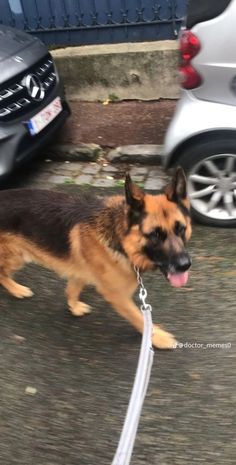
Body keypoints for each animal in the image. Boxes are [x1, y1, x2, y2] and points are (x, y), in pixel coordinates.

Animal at [0, 168, 192, 348]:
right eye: (155, 235)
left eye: (181, 229)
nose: (185, 265)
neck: (119, 237)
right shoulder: (117, 296)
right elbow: (140, 319)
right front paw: (158, 337)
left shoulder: (81, 272)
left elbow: (72, 289)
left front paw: (74, 307)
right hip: (16, 257)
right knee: (2, 274)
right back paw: (17, 289)